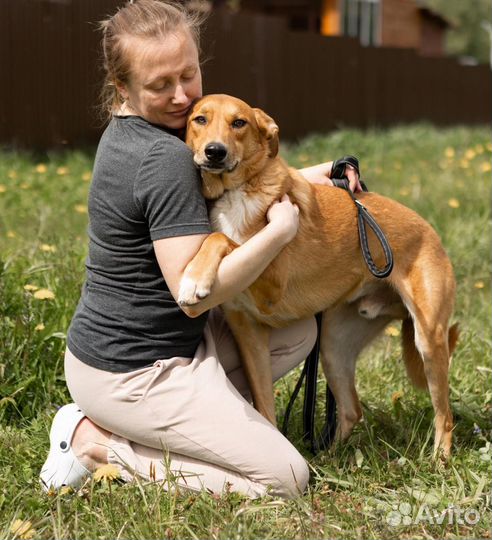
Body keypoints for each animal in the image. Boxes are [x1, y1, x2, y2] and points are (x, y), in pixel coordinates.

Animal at [179, 95, 460, 458]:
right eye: (200, 119)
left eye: (238, 123)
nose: (215, 152)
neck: (232, 193)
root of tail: (429, 230)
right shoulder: (249, 332)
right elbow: (265, 409)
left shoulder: (271, 287)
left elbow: (220, 238)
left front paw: (193, 280)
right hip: (333, 345)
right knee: (352, 409)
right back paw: (328, 456)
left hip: (429, 339)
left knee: (445, 414)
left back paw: (439, 460)